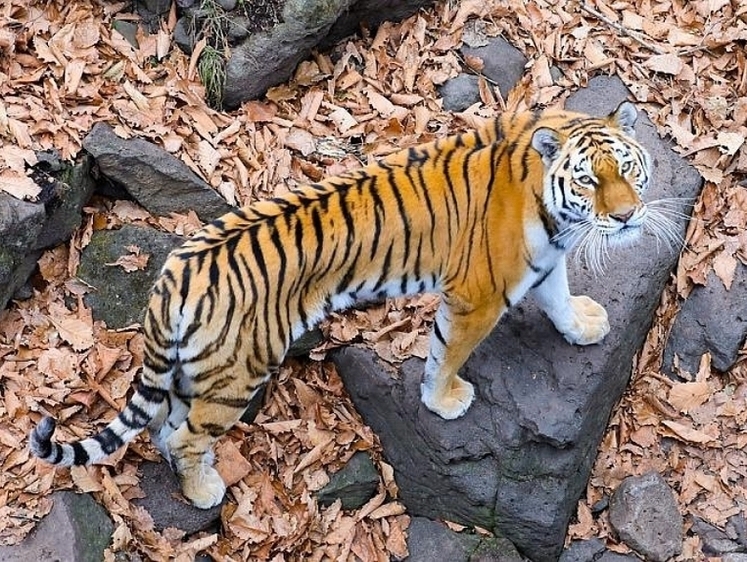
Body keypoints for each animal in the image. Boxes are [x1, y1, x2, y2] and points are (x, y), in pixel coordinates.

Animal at [32, 100, 656, 508]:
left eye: (627, 170)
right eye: (588, 181)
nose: (627, 216)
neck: (552, 208)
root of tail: (174, 275)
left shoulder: (544, 259)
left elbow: (558, 295)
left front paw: (583, 324)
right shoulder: (477, 295)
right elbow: (448, 353)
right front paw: (443, 401)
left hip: (199, 369)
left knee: (165, 428)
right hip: (239, 371)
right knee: (183, 436)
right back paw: (205, 491)